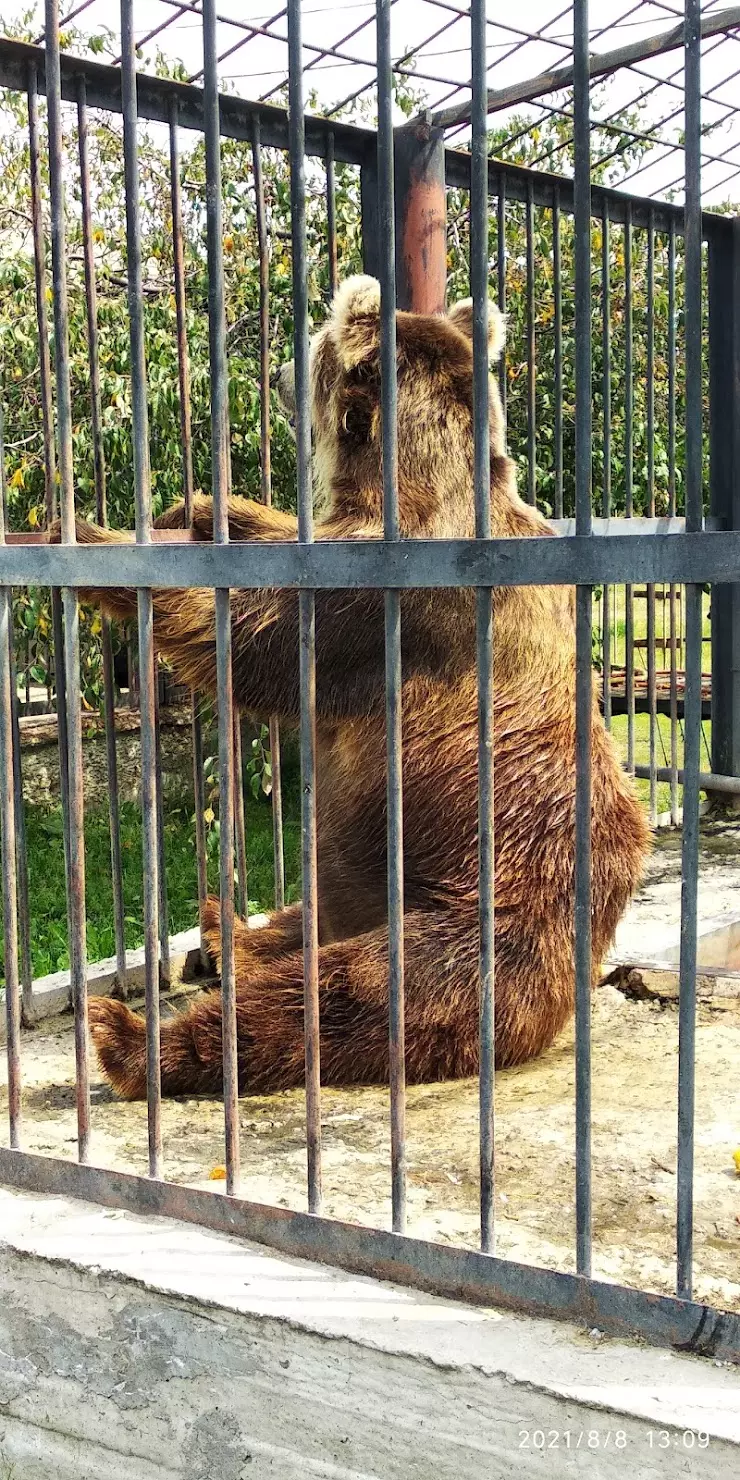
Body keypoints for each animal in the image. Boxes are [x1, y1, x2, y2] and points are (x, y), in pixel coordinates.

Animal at [52, 278, 651, 1101]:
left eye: (310, 348)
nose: (275, 371)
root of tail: (578, 981)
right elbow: (269, 547)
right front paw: (201, 508)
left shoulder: (386, 606)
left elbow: (251, 635)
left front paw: (92, 540)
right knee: (300, 923)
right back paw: (224, 930)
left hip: (470, 917)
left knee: (327, 999)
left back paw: (131, 1037)